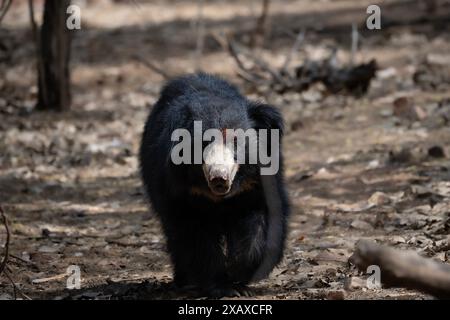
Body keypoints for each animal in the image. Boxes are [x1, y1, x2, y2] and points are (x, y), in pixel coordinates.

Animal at [139, 73, 290, 298]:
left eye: (236, 142)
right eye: (203, 142)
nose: (219, 177)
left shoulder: (255, 184)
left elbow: (261, 221)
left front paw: (239, 273)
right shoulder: (181, 190)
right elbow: (195, 236)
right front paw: (224, 286)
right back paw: (184, 280)